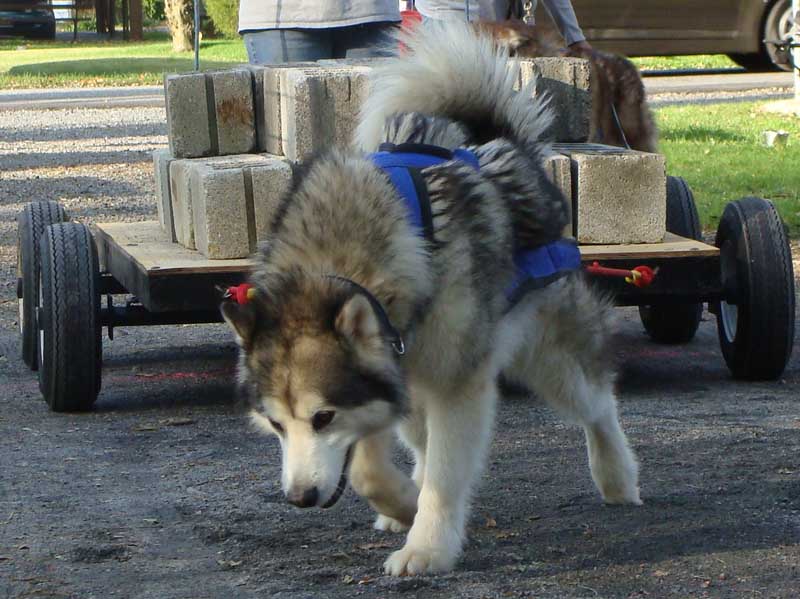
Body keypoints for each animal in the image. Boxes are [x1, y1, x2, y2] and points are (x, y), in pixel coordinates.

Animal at [220, 21, 644, 580]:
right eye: (274, 424)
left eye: (322, 418)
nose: (299, 498)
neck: (336, 260)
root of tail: (497, 144)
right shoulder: (384, 380)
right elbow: (368, 470)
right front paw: (403, 502)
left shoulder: (453, 385)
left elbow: (443, 475)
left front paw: (427, 544)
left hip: (547, 358)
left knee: (597, 402)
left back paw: (616, 473)